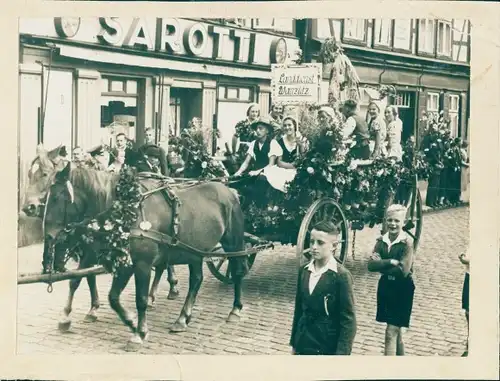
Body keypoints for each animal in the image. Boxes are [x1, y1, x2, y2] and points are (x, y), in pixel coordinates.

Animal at [43, 162, 248, 348]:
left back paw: (235, 309)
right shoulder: (122, 262)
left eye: (57, 197)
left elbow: (139, 299)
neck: (126, 210)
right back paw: (182, 318)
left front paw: (139, 332)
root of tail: (230, 190)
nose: (48, 236)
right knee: (196, 280)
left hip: (233, 243)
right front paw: (131, 321)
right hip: (194, 251)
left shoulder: (142, 264)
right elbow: (110, 296)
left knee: (237, 271)